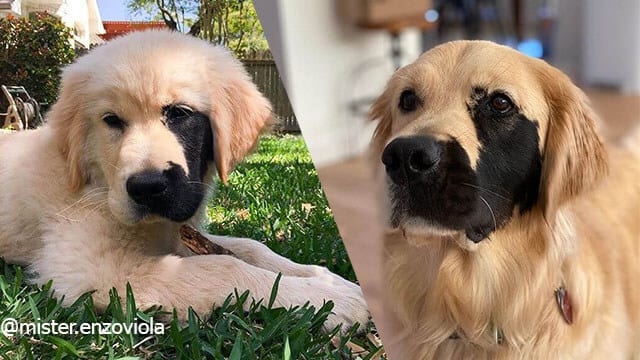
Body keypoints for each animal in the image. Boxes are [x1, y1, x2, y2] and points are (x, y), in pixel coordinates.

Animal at [0, 31, 368, 332]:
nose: (146, 187)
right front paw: (327, 300)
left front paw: (326, 279)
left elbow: (250, 247)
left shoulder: (177, 233)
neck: (98, 184)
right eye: (112, 120)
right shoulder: (90, 268)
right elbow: (222, 267)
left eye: (179, 113)